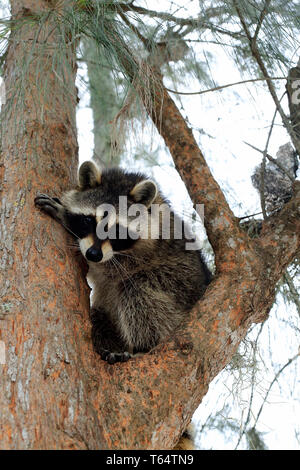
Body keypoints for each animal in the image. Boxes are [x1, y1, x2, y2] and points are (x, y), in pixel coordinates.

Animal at [34, 161, 211, 364]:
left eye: (117, 231)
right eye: (88, 221)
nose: (93, 254)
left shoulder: (149, 249)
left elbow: (112, 269)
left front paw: (63, 216)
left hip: (177, 288)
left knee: (138, 293)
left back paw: (144, 348)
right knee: (100, 315)